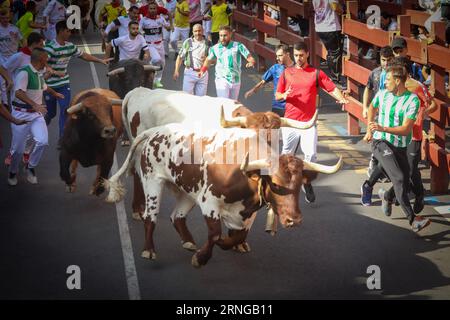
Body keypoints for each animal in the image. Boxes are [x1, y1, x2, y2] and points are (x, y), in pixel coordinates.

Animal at [104, 124, 342, 268]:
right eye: (274, 183)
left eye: (301, 183)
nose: (295, 220)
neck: (242, 174)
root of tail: (155, 131)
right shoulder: (209, 203)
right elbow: (215, 234)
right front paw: (201, 258)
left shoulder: (248, 212)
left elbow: (237, 236)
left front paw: (228, 245)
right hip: (153, 182)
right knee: (150, 218)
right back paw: (149, 250)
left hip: (188, 191)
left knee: (176, 216)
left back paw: (188, 241)